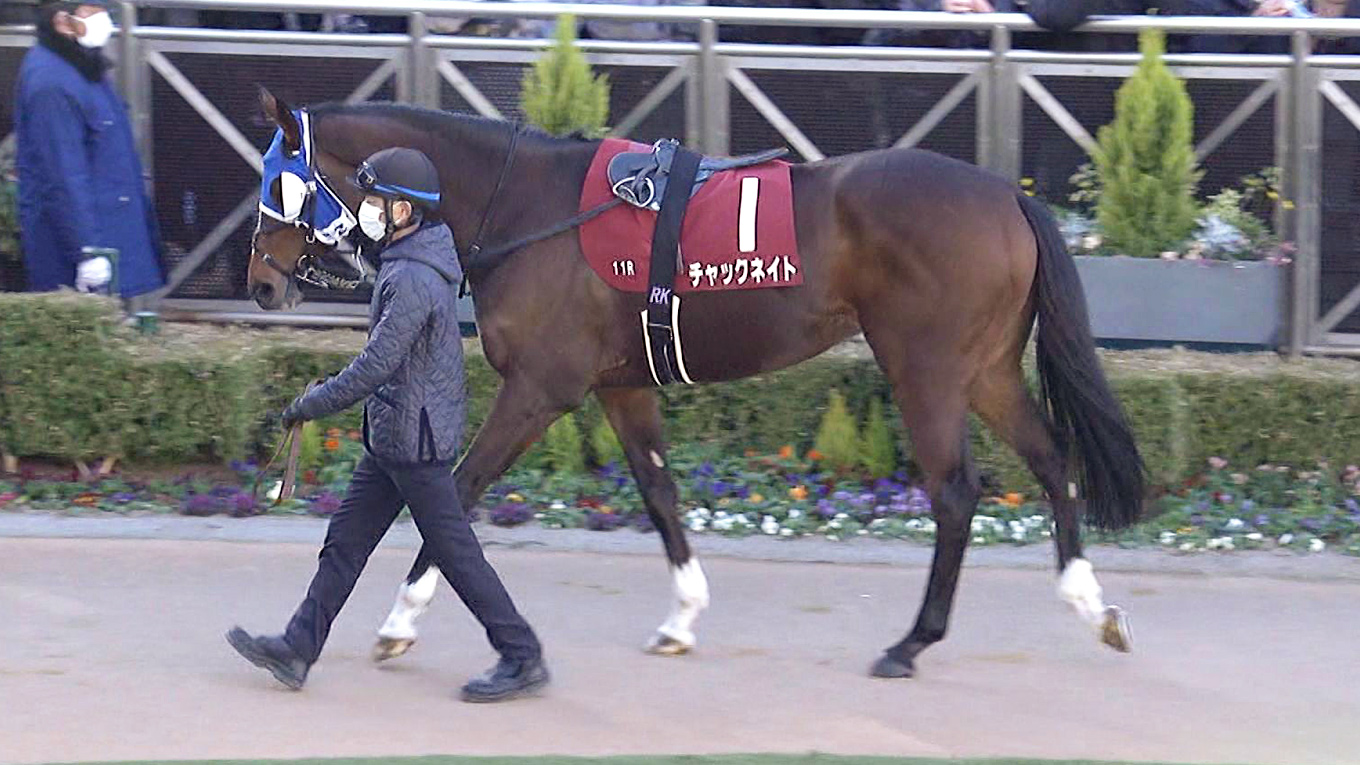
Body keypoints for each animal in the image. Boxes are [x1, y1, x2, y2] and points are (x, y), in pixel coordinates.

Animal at [246, 86, 1144, 679]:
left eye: (279, 182)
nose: (259, 279)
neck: (529, 207)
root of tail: (1007, 196)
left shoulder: (540, 386)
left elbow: (457, 492)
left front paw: (401, 620)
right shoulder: (620, 385)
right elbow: (658, 490)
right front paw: (680, 617)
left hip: (924, 366)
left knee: (957, 489)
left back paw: (912, 640)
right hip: (983, 367)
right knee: (1051, 456)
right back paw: (1090, 603)